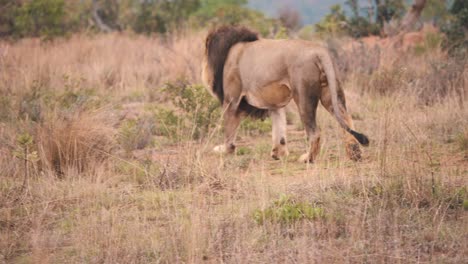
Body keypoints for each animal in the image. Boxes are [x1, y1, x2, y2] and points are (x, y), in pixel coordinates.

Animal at [202, 26, 370, 163]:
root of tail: (320, 51)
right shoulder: (274, 104)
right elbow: (279, 127)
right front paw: (279, 153)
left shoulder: (231, 100)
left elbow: (229, 130)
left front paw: (225, 150)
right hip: (331, 93)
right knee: (347, 121)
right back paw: (354, 154)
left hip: (303, 96)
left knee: (315, 132)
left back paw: (307, 158)